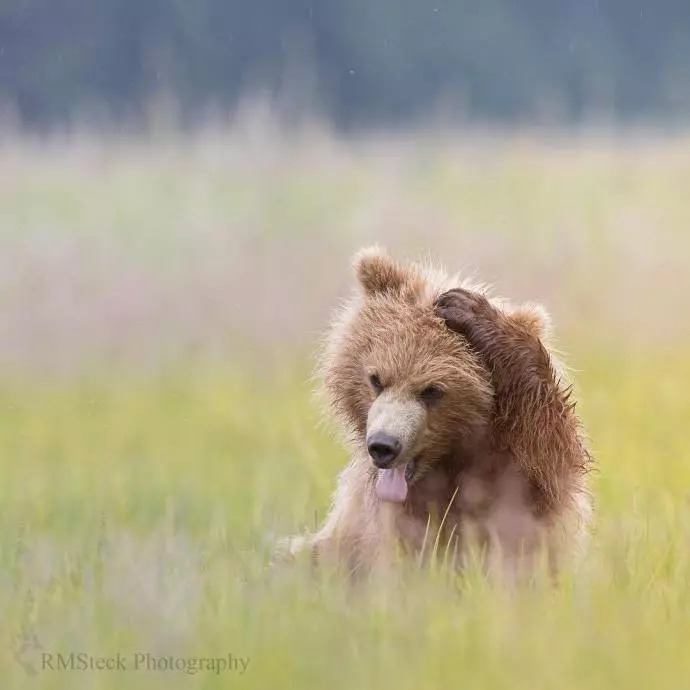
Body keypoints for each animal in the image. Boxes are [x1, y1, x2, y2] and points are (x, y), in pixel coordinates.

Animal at [288, 247, 588, 580]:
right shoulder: (374, 521)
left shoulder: (524, 478)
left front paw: (465, 307)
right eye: (376, 379)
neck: (450, 462)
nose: (383, 446)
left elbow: (552, 451)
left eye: (432, 390)